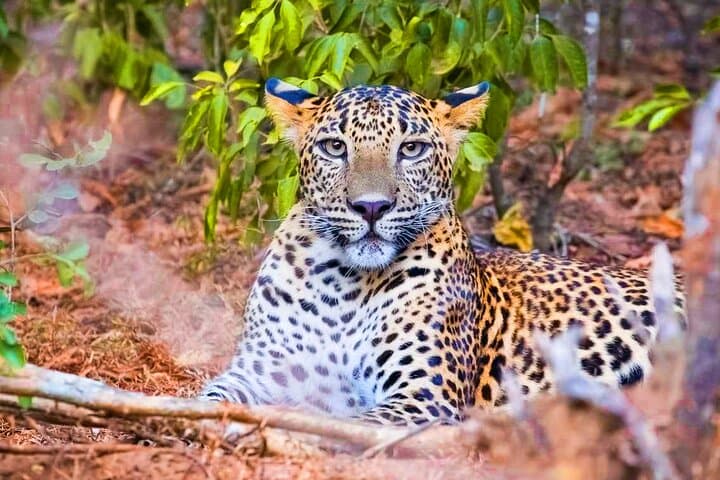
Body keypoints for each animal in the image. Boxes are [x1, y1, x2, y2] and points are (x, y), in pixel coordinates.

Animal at [201, 78, 686, 425]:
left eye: (411, 149)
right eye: (335, 147)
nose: (371, 206)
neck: (343, 283)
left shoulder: (423, 398)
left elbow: (354, 425)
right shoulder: (259, 369)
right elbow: (208, 395)